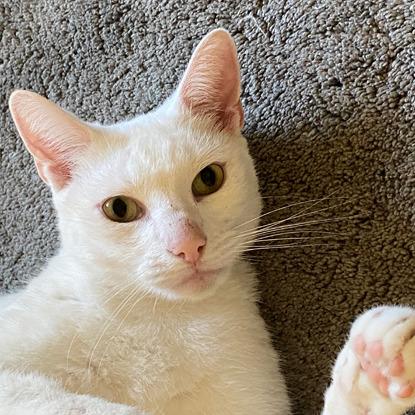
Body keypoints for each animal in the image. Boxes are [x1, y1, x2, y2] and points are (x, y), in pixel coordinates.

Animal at [0, 28, 415, 415]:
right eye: (119, 209)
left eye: (208, 179)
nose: (188, 244)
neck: (165, 318)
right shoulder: (16, 376)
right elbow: (79, 404)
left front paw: (371, 375)